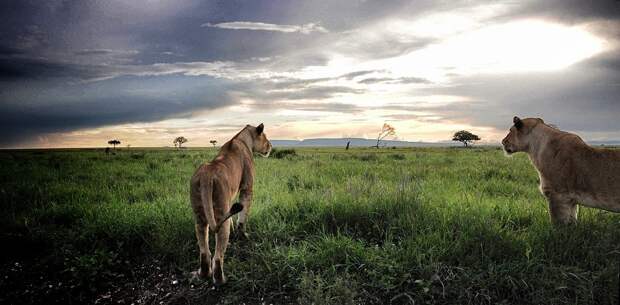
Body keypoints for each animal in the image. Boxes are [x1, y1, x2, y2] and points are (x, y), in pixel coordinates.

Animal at [189, 122, 272, 284]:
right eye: (265, 137)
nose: (270, 146)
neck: (242, 138)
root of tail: (206, 175)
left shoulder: (230, 199)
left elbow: (234, 215)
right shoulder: (247, 188)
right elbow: (243, 215)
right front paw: (243, 235)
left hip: (200, 215)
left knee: (204, 250)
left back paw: (203, 274)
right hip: (220, 214)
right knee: (217, 256)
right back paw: (220, 279)